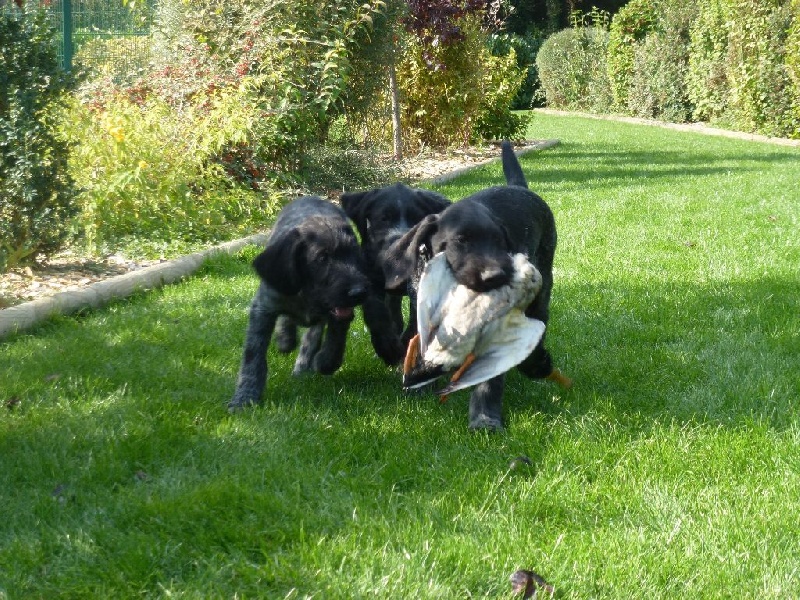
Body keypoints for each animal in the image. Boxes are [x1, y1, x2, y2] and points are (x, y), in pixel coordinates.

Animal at [230, 195, 370, 410]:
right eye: (322, 258)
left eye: (355, 254)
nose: (359, 292)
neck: (307, 294)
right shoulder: (263, 308)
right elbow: (253, 356)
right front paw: (245, 396)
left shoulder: (340, 311)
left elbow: (335, 340)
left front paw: (325, 361)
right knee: (289, 320)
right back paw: (285, 340)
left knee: (312, 335)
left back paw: (303, 364)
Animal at [382, 141, 568, 432]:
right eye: (461, 241)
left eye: (499, 241)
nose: (496, 275)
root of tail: (521, 188)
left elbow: (488, 380)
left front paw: (484, 418)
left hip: (544, 281)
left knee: (540, 317)